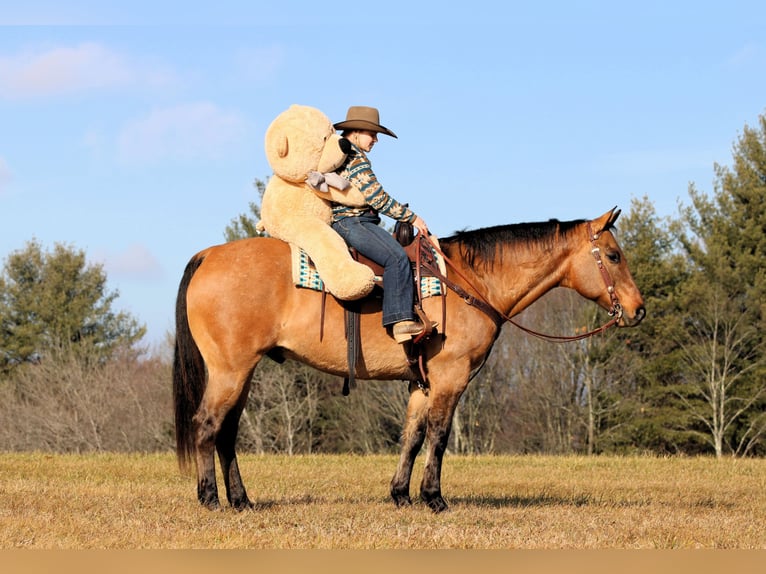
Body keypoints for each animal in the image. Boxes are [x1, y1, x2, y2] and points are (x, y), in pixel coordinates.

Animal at [173, 207, 645, 513]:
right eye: (614, 255)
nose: (638, 310)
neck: (469, 282)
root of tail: (207, 255)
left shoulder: (423, 382)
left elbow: (412, 436)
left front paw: (401, 494)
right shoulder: (451, 378)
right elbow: (439, 435)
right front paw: (434, 497)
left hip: (242, 373)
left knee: (227, 433)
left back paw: (241, 500)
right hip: (231, 372)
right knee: (208, 426)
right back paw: (210, 499)